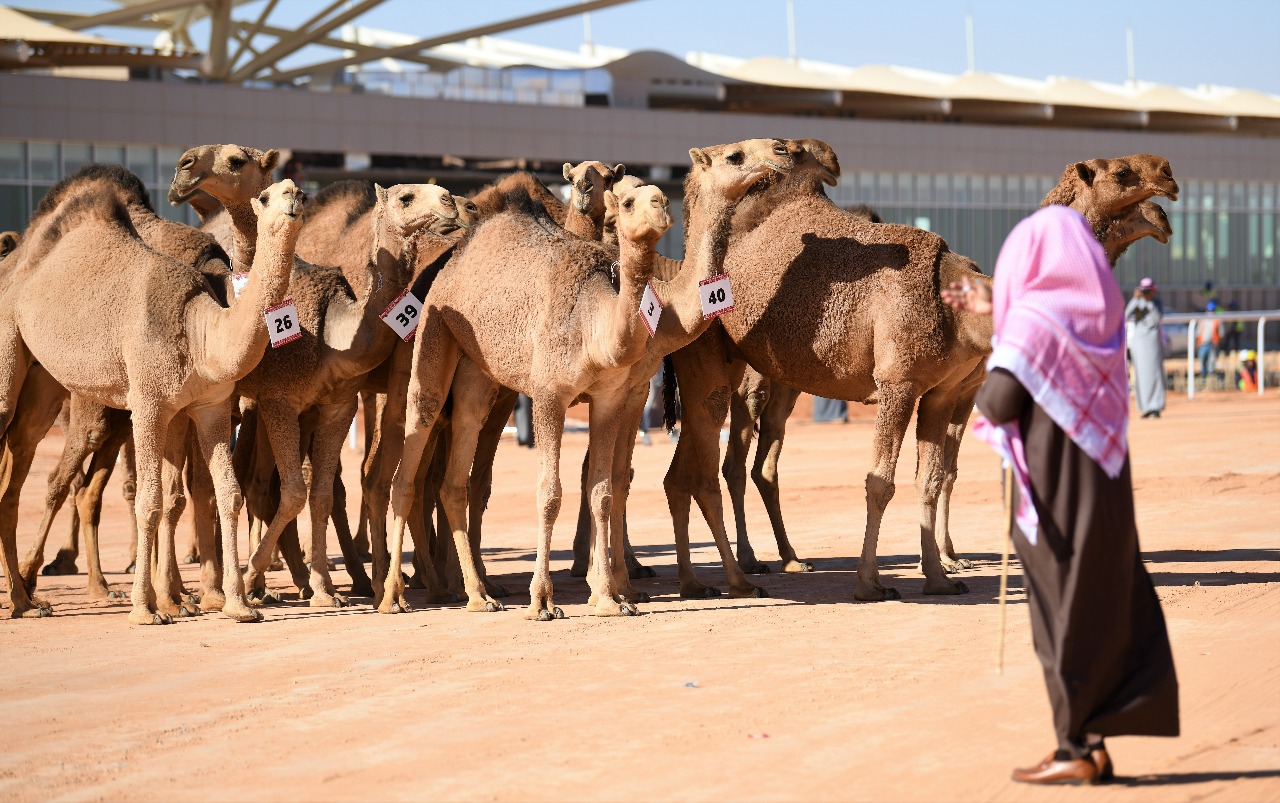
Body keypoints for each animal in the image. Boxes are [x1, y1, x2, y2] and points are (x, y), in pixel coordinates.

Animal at [0, 165, 304, 627]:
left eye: (299, 190)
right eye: (267, 196)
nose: (295, 198)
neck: (199, 331)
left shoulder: (211, 407)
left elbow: (227, 494)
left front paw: (238, 605)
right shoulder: (147, 402)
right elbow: (150, 500)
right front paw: (146, 609)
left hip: (42, 380)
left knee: (19, 461)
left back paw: (24, 601)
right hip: (8, 344)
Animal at [170, 146, 460, 609]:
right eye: (406, 198)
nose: (451, 202)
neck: (331, 335)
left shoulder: (336, 405)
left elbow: (321, 492)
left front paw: (324, 589)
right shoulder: (280, 401)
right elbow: (293, 491)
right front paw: (253, 573)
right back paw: (206, 590)